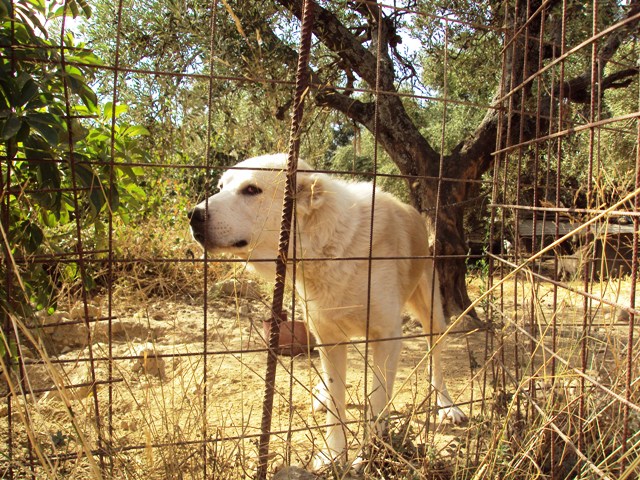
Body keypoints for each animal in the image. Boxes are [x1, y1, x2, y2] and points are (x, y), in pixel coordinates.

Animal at [189, 156, 464, 470]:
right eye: (221, 187)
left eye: (251, 190)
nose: (193, 215)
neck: (330, 246)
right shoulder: (329, 338)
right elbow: (336, 403)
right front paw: (333, 455)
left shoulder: (387, 338)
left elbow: (377, 404)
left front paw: (369, 456)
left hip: (433, 316)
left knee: (436, 361)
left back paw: (447, 405)